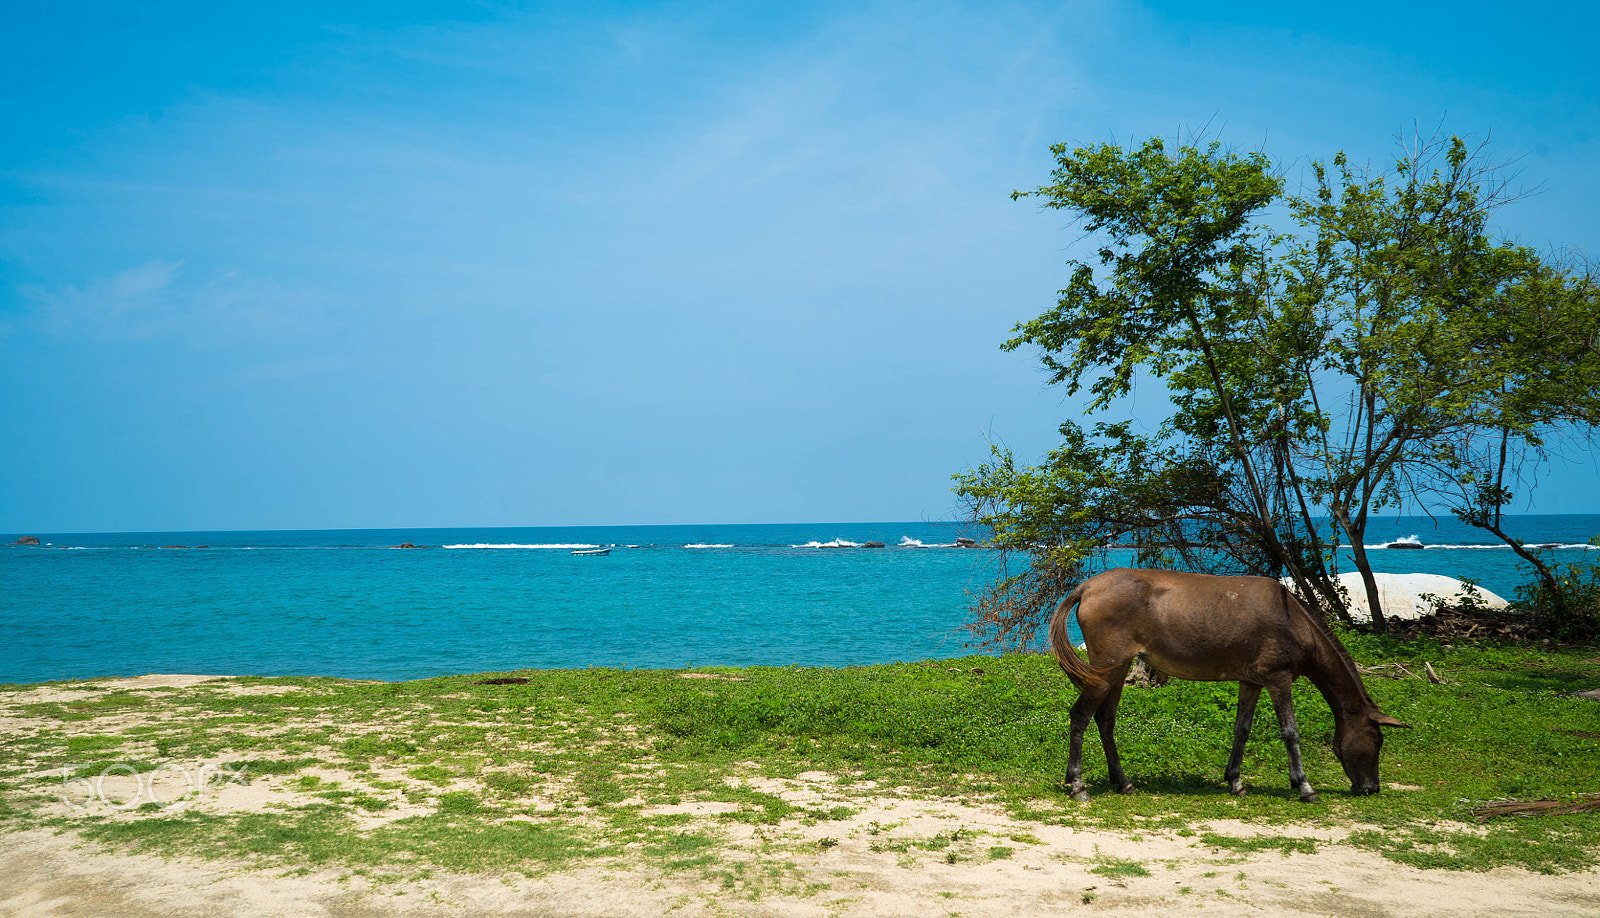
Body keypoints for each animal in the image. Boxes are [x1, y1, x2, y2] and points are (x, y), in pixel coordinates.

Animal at [1049, 568, 1409, 802]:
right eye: (1376, 741)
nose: (1370, 788)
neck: (1294, 621)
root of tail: (1086, 588)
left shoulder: (1251, 681)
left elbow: (1242, 729)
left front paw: (1235, 781)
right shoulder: (1278, 678)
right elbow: (1290, 732)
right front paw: (1304, 787)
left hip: (1118, 667)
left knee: (1105, 719)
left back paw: (1122, 782)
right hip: (1106, 668)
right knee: (1080, 715)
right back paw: (1078, 785)